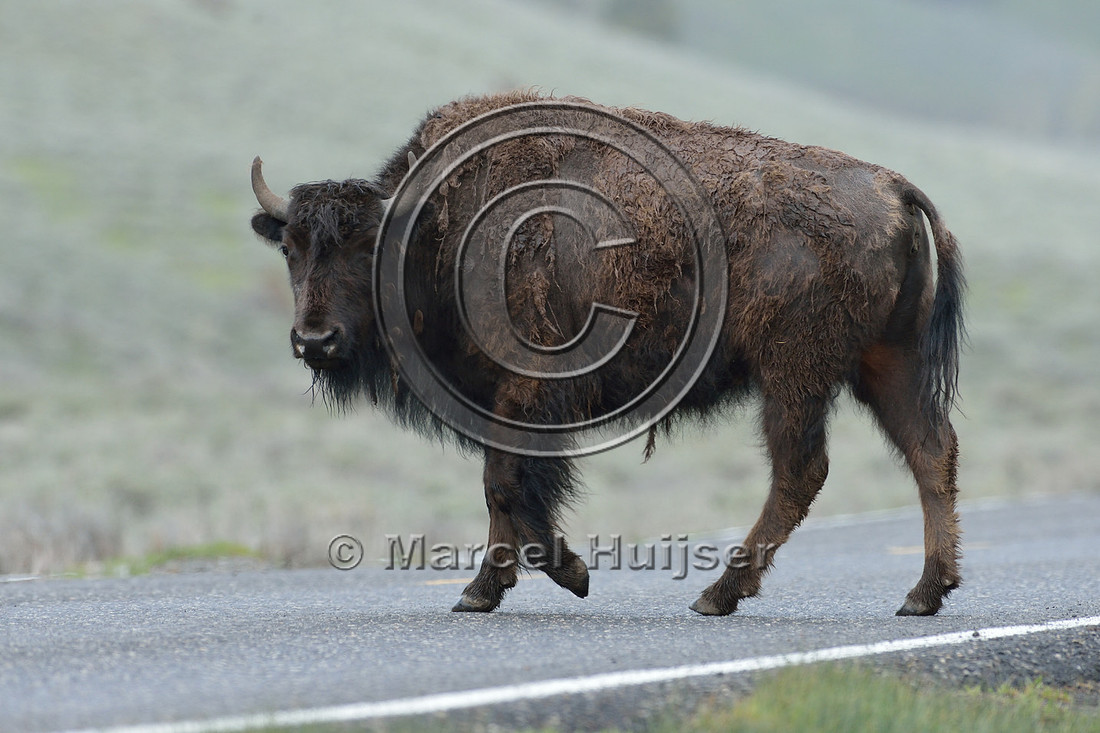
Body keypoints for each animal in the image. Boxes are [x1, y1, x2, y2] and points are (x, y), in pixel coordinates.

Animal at [250, 91, 964, 616]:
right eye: (290, 248)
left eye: (364, 246)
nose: (314, 341)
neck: (436, 225)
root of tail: (894, 188)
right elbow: (502, 488)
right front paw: (484, 593)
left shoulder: (528, 387)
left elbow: (505, 481)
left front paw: (560, 576)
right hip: (884, 362)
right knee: (929, 452)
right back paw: (924, 594)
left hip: (795, 374)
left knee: (802, 471)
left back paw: (717, 596)